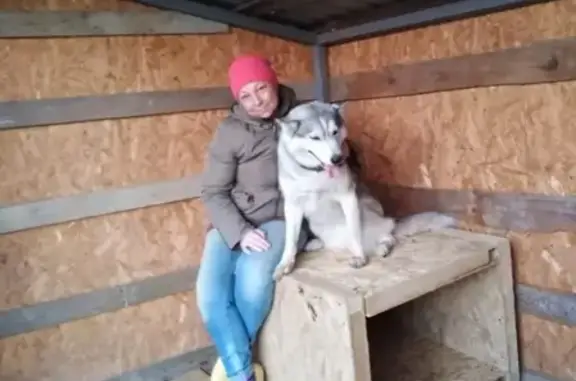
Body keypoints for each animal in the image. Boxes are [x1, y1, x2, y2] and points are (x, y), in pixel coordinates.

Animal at [272, 101, 456, 280]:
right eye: (315, 138)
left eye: (334, 132)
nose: (337, 159)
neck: (314, 174)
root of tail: (391, 222)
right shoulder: (292, 206)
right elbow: (290, 240)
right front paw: (285, 264)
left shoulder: (347, 197)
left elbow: (355, 233)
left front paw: (359, 257)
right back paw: (317, 243)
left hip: (367, 215)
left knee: (388, 237)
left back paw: (383, 247)